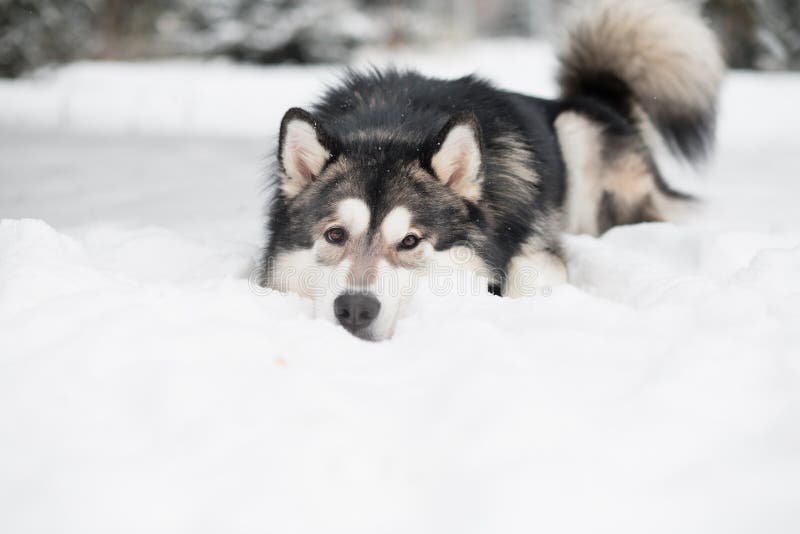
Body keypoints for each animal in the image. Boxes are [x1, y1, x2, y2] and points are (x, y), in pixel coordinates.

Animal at [260, 0, 724, 342]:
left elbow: (526, 275)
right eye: (335, 235)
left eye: (410, 241)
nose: (355, 308)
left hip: (579, 134)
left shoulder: (539, 253)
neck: (393, 126)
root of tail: (598, 98)